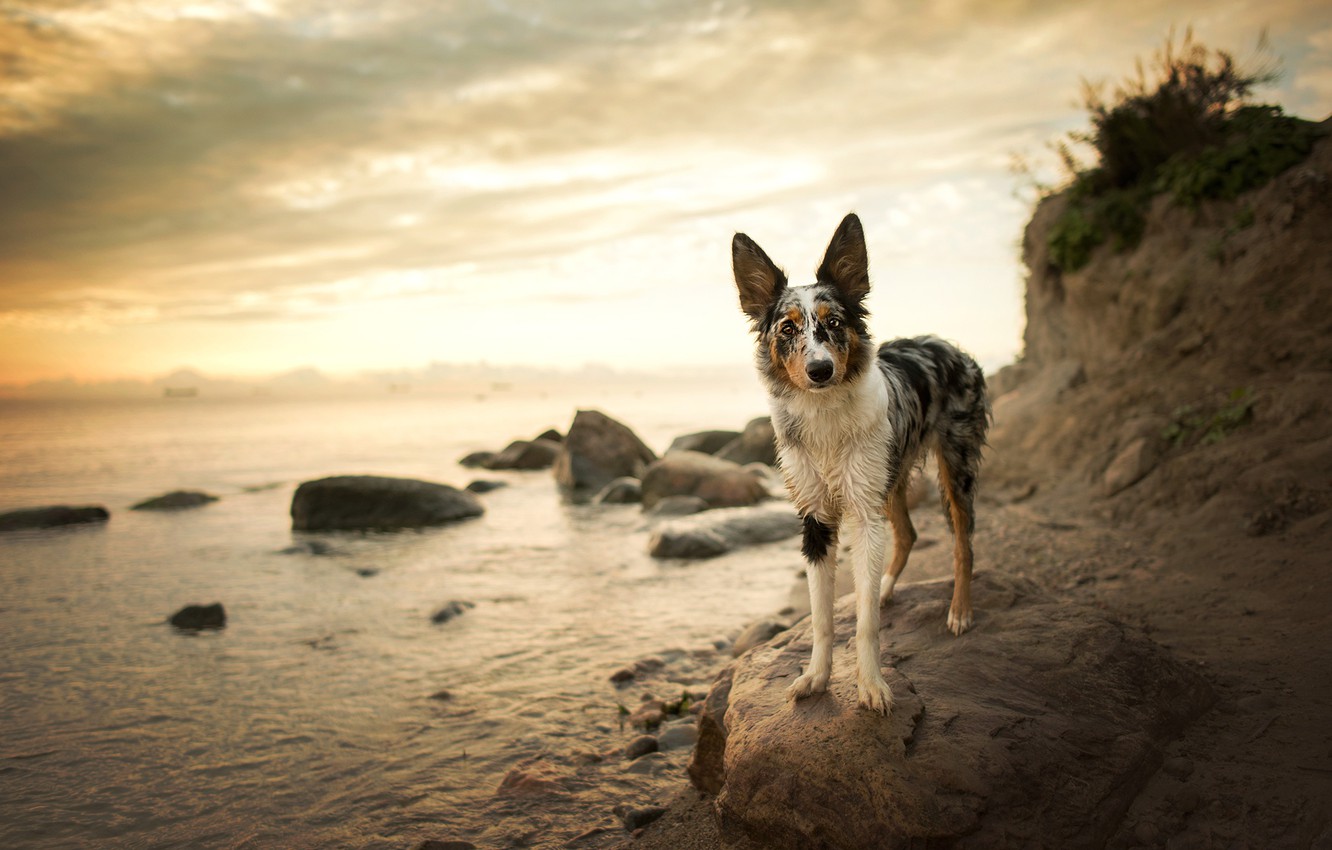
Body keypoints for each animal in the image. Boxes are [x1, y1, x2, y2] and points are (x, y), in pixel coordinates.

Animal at [729, 211, 991, 714]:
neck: (825, 418)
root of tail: (948, 344)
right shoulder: (815, 519)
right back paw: (886, 588)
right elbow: (821, 617)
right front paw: (816, 677)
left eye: (834, 321)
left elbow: (866, 623)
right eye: (787, 328)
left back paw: (960, 611)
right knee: (907, 534)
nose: (820, 370)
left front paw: (871, 686)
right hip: (889, 474)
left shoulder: (865, 516)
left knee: (963, 543)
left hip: (955, 467)